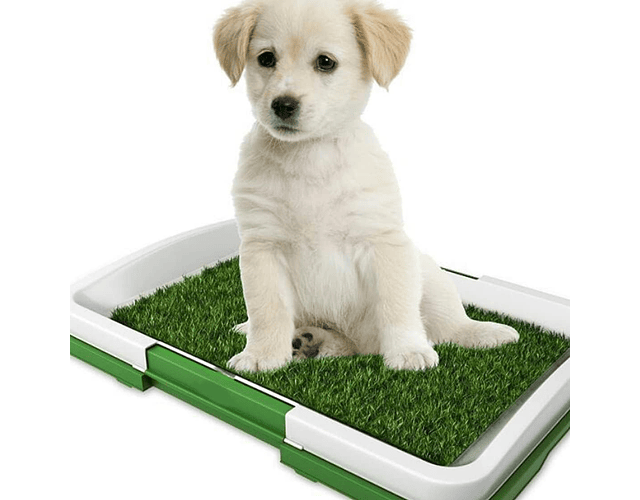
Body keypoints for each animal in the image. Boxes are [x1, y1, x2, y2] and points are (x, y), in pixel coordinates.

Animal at [213, 0, 519, 372]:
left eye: (325, 62)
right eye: (267, 58)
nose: (283, 104)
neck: (310, 155)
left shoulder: (382, 242)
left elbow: (396, 305)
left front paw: (407, 351)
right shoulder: (262, 248)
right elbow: (268, 310)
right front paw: (262, 355)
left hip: (429, 275)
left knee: (446, 323)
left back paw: (484, 333)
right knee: (341, 343)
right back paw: (305, 340)